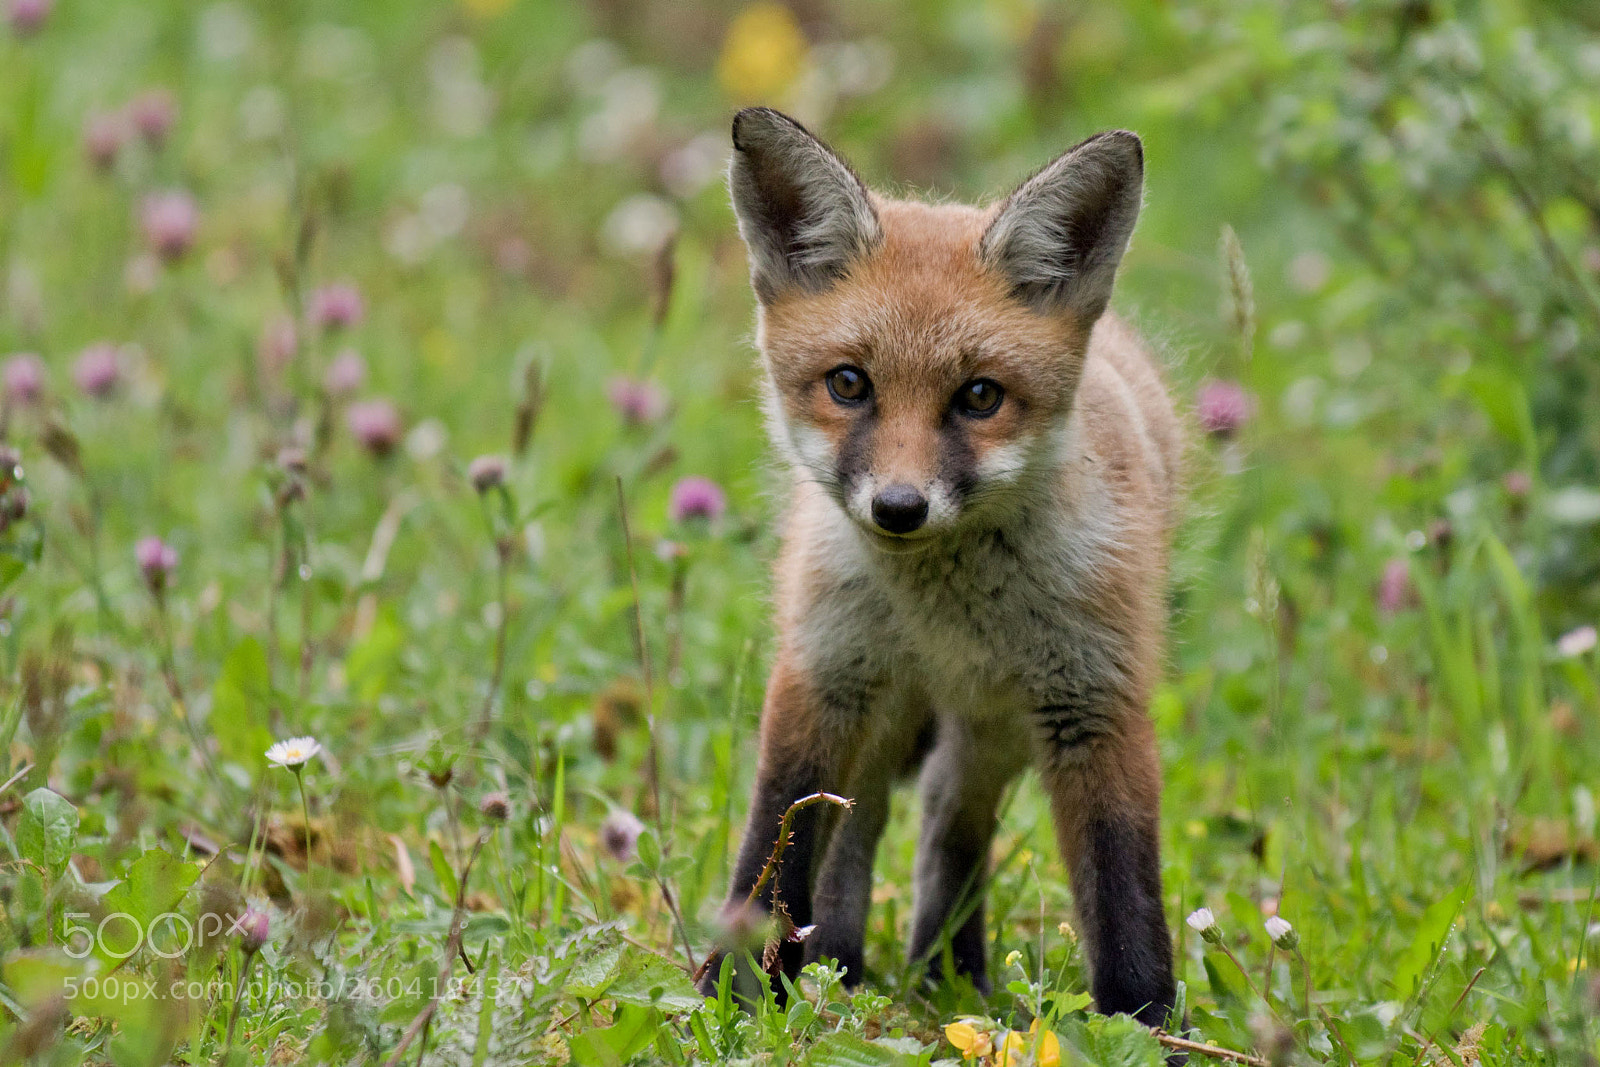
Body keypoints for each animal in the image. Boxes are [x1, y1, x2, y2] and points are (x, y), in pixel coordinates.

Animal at [699, 106, 1183, 1031]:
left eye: (980, 397)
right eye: (849, 384)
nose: (899, 506)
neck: (942, 614)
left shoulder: (1091, 698)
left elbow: (1123, 889)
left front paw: (1145, 1027)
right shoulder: (822, 672)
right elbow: (774, 848)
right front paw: (733, 998)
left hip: (987, 729)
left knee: (947, 826)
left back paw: (945, 975)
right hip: (886, 708)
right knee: (860, 825)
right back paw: (843, 963)